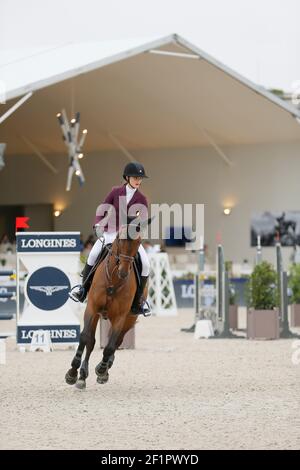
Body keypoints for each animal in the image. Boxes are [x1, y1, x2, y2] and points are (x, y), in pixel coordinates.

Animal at [64, 218, 149, 388]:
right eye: (120, 239)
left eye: (139, 242)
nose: (124, 272)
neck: (114, 281)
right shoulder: (91, 308)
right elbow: (85, 337)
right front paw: (72, 373)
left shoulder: (121, 316)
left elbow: (110, 346)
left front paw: (102, 370)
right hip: (98, 314)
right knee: (91, 341)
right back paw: (82, 375)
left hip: (129, 319)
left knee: (117, 341)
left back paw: (104, 367)